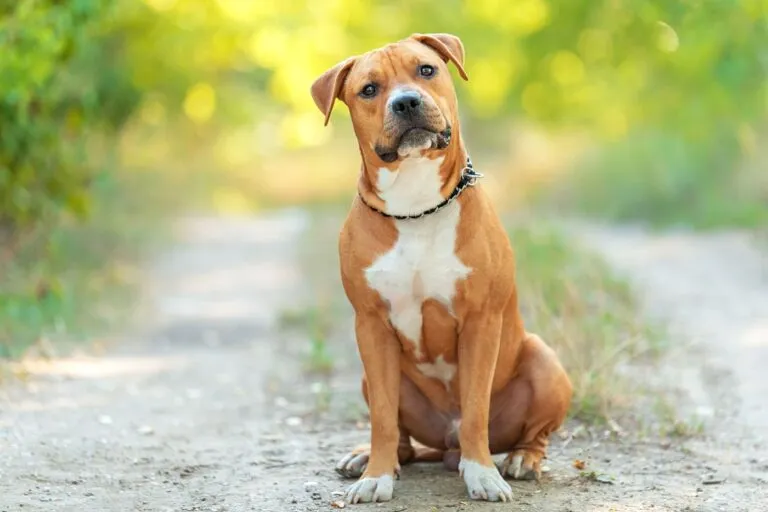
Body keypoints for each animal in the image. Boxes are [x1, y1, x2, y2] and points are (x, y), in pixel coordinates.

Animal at [310, 33, 568, 504]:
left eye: (426, 70)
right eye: (369, 89)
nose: (407, 101)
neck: (416, 204)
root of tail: (445, 447)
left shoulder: (481, 321)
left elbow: (475, 410)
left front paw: (483, 474)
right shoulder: (371, 326)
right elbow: (382, 418)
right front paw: (376, 476)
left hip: (545, 362)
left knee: (532, 431)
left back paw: (522, 458)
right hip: (370, 375)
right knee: (401, 437)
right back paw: (371, 457)